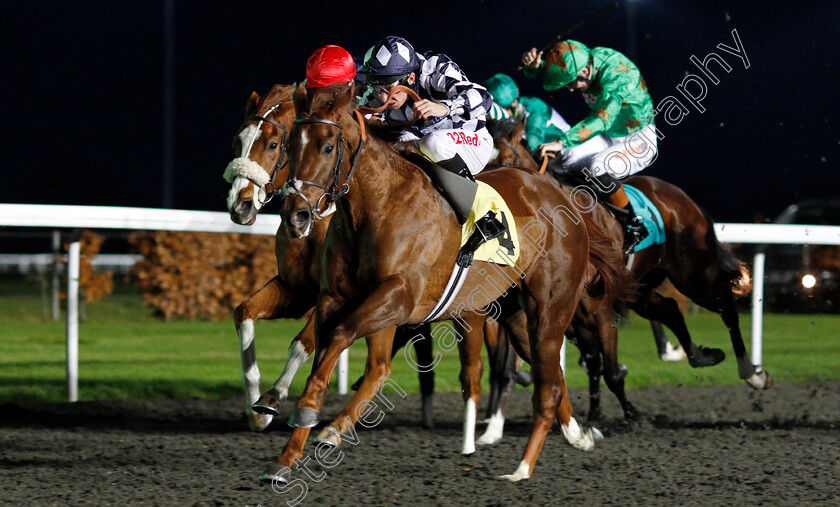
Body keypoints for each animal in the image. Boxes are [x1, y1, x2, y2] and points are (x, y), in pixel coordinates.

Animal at [223, 84, 434, 432]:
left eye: (272, 144)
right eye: (237, 140)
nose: (238, 205)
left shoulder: (329, 294)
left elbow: (303, 343)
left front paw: (272, 397)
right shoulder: (296, 289)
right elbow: (244, 313)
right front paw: (254, 406)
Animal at [266, 83, 628, 484]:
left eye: (329, 146)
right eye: (289, 146)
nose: (296, 215)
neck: (379, 204)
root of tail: (563, 199)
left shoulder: (398, 296)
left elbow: (342, 337)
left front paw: (313, 420)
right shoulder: (338, 298)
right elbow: (334, 357)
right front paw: (287, 456)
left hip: (550, 310)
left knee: (547, 387)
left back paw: (522, 468)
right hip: (517, 318)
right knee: (553, 377)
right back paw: (578, 435)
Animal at [488, 118, 772, 420]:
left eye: (507, 163)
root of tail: (681, 197)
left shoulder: (600, 310)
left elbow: (611, 371)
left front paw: (631, 414)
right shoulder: (577, 315)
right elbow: (595, 365)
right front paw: (594, 415)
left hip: (694, 274)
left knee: (726, 306)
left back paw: (753, 374)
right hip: (638, 288)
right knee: (671, 309)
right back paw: (702, 356)